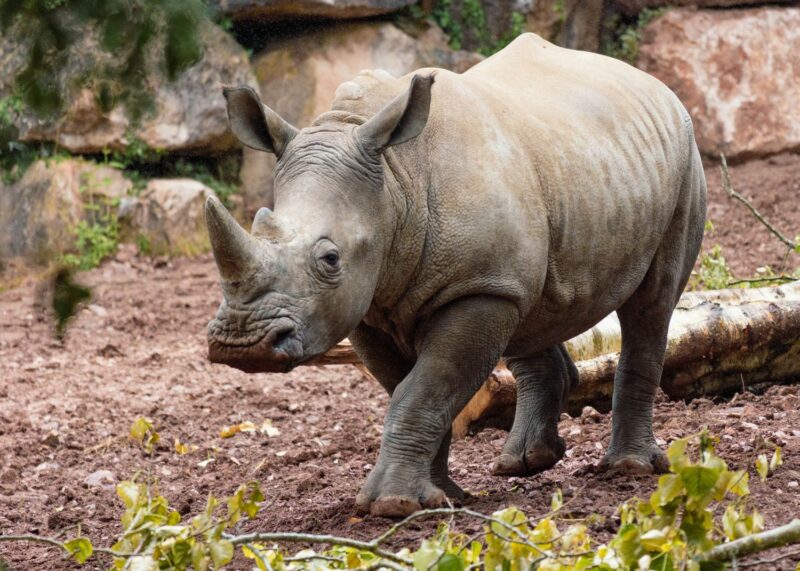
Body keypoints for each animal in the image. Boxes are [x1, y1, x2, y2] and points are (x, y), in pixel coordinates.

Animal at [206, 33, 706, 517]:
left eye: (330, 258)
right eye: (258, 227)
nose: (243, 344)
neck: (394, 183)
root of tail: (651, 82)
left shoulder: (475, 289)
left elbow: (422, 390)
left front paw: (391, 504)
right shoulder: (369, 305)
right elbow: (413, 390)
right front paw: (439, 496)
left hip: (683, 157)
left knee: (652, 305)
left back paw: (629, 468)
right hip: (564, 174)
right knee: (535, 308)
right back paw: (524, 463)